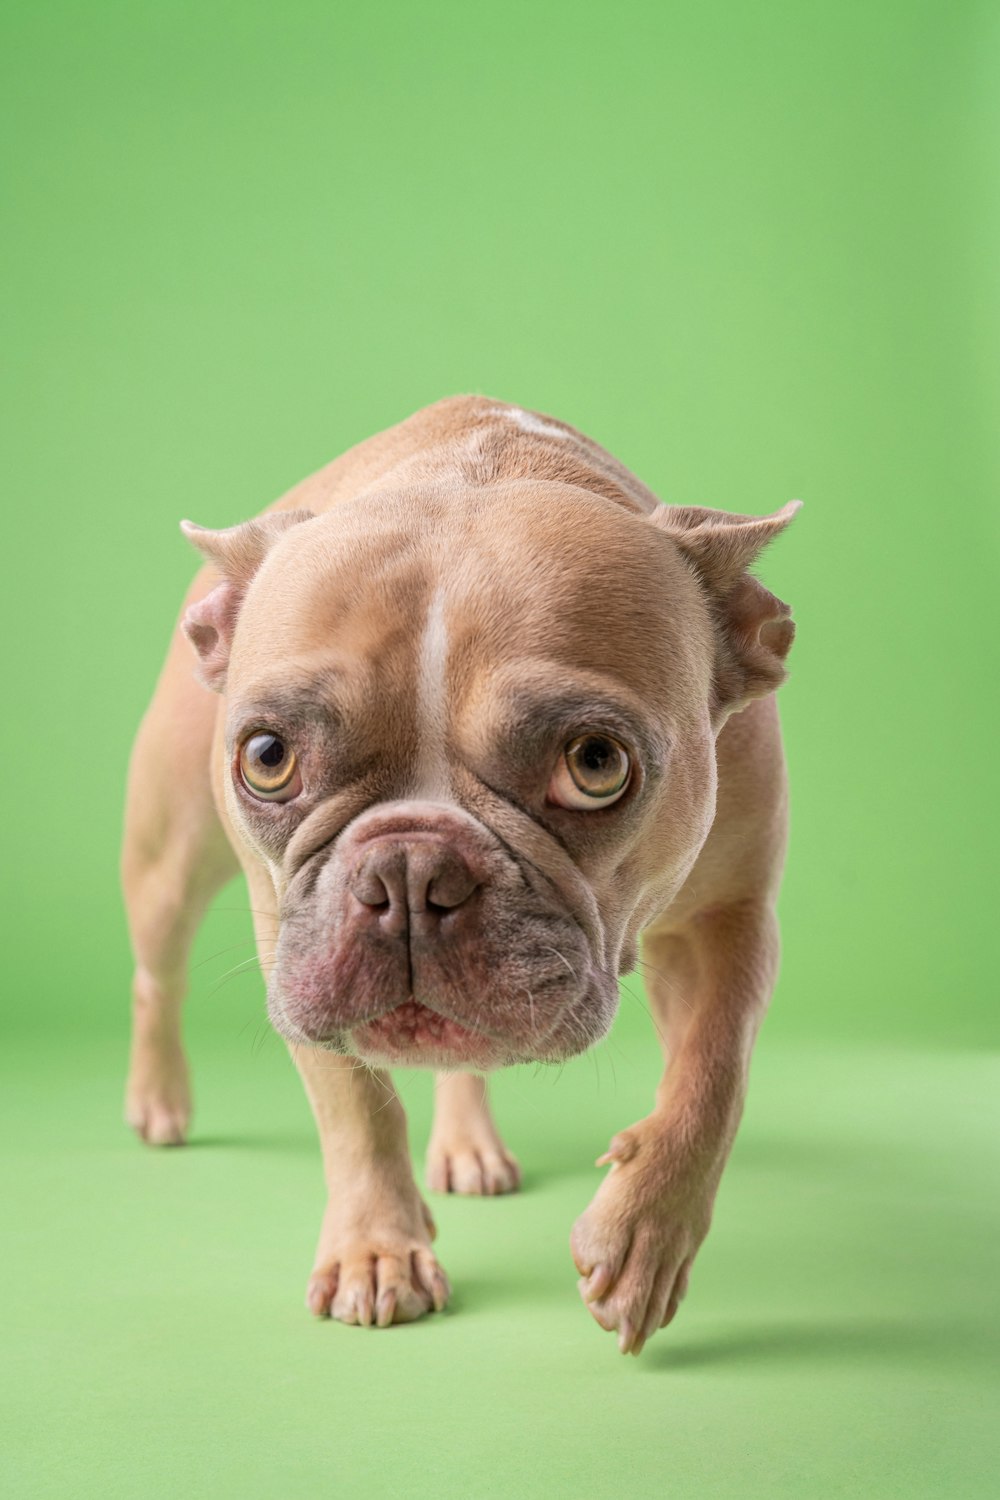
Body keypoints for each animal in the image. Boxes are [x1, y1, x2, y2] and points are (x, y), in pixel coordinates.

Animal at [122, 393, 797, 1356]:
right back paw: (158, 1100)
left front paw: (642, 1235)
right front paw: (376, 1251)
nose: (409, 871)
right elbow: (355, 1108)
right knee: (157, 974)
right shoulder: (291, 941)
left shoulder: (729, 917)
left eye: (596, 763)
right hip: (170, 859)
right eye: (268, 757)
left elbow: (712, 1071)